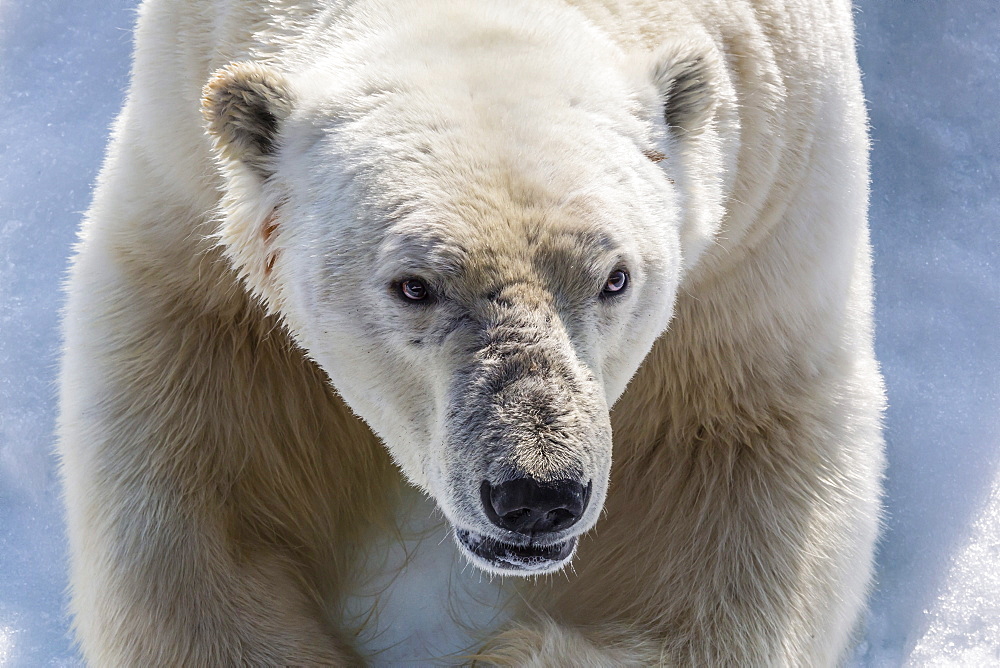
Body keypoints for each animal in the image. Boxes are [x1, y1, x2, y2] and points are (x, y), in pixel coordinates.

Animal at [58, 0, 884, 664]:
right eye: (414, 286)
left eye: (615, 277)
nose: (537, 495)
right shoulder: (187, 164)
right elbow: (199, 440)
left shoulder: (763, 216)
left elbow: (732, 451)